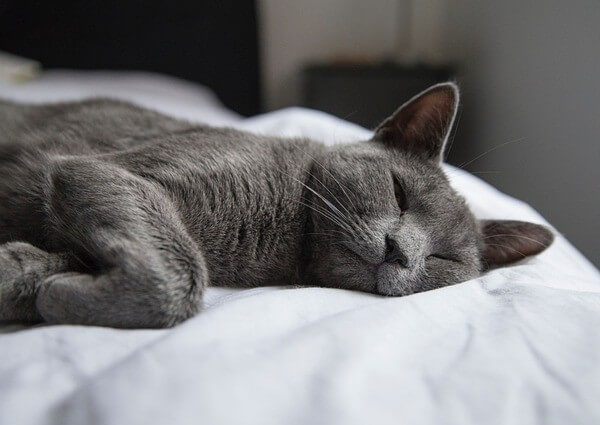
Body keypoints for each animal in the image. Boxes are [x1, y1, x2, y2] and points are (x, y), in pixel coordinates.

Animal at [0, 83, 552, 328]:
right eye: (399, 193)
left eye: (442, 259)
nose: (400, 251)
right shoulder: (108, 172)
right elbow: (181, 272)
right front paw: (54, 294)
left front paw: (46, 288)